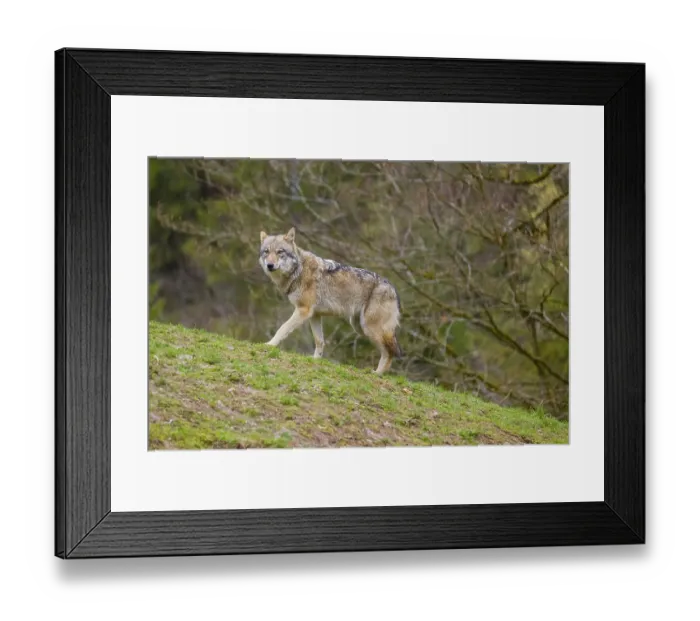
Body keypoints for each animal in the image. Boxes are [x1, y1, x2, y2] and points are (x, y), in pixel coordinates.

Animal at [259, 227, 402, 374]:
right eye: (266, 252)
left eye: (280, 252)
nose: (270, 265)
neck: (298, 270)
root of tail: (393, 289)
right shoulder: (314, 315)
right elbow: (319, 341)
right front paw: (316, 360)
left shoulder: (303, 310)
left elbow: (283, 328)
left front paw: (270, 344)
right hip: (359, 327)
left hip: (369, 329)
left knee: (389, 352)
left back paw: (377, 373)